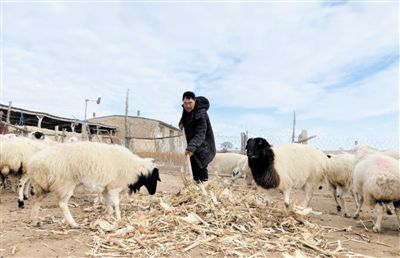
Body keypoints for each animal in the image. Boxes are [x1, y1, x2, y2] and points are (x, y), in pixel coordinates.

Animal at [27, 141, 161, 228]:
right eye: (155, 178)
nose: (153, 192)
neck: (135, 169)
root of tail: (33, 162)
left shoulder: (106, 188)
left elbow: (108, 202)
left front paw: (109, 215)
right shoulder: (114, 186)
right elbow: (116, 203)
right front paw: (118, 218)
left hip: (42, 186)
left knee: (36, 201)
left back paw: (34, 221)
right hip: (64, 184)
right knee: (62, 204)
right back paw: (73, 224)